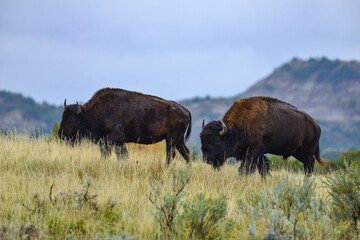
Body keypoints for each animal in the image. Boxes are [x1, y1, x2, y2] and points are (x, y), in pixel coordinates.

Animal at [59, 87, 193, 164]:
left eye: (71, 119)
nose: (61, 134)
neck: (90, 113)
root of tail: (186, 110)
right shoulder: (119, 142)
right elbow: (122, 155)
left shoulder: (112, 139)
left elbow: (108, 154)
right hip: (178, 140)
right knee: (186, 153)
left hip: (171, 139)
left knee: (171, 155)